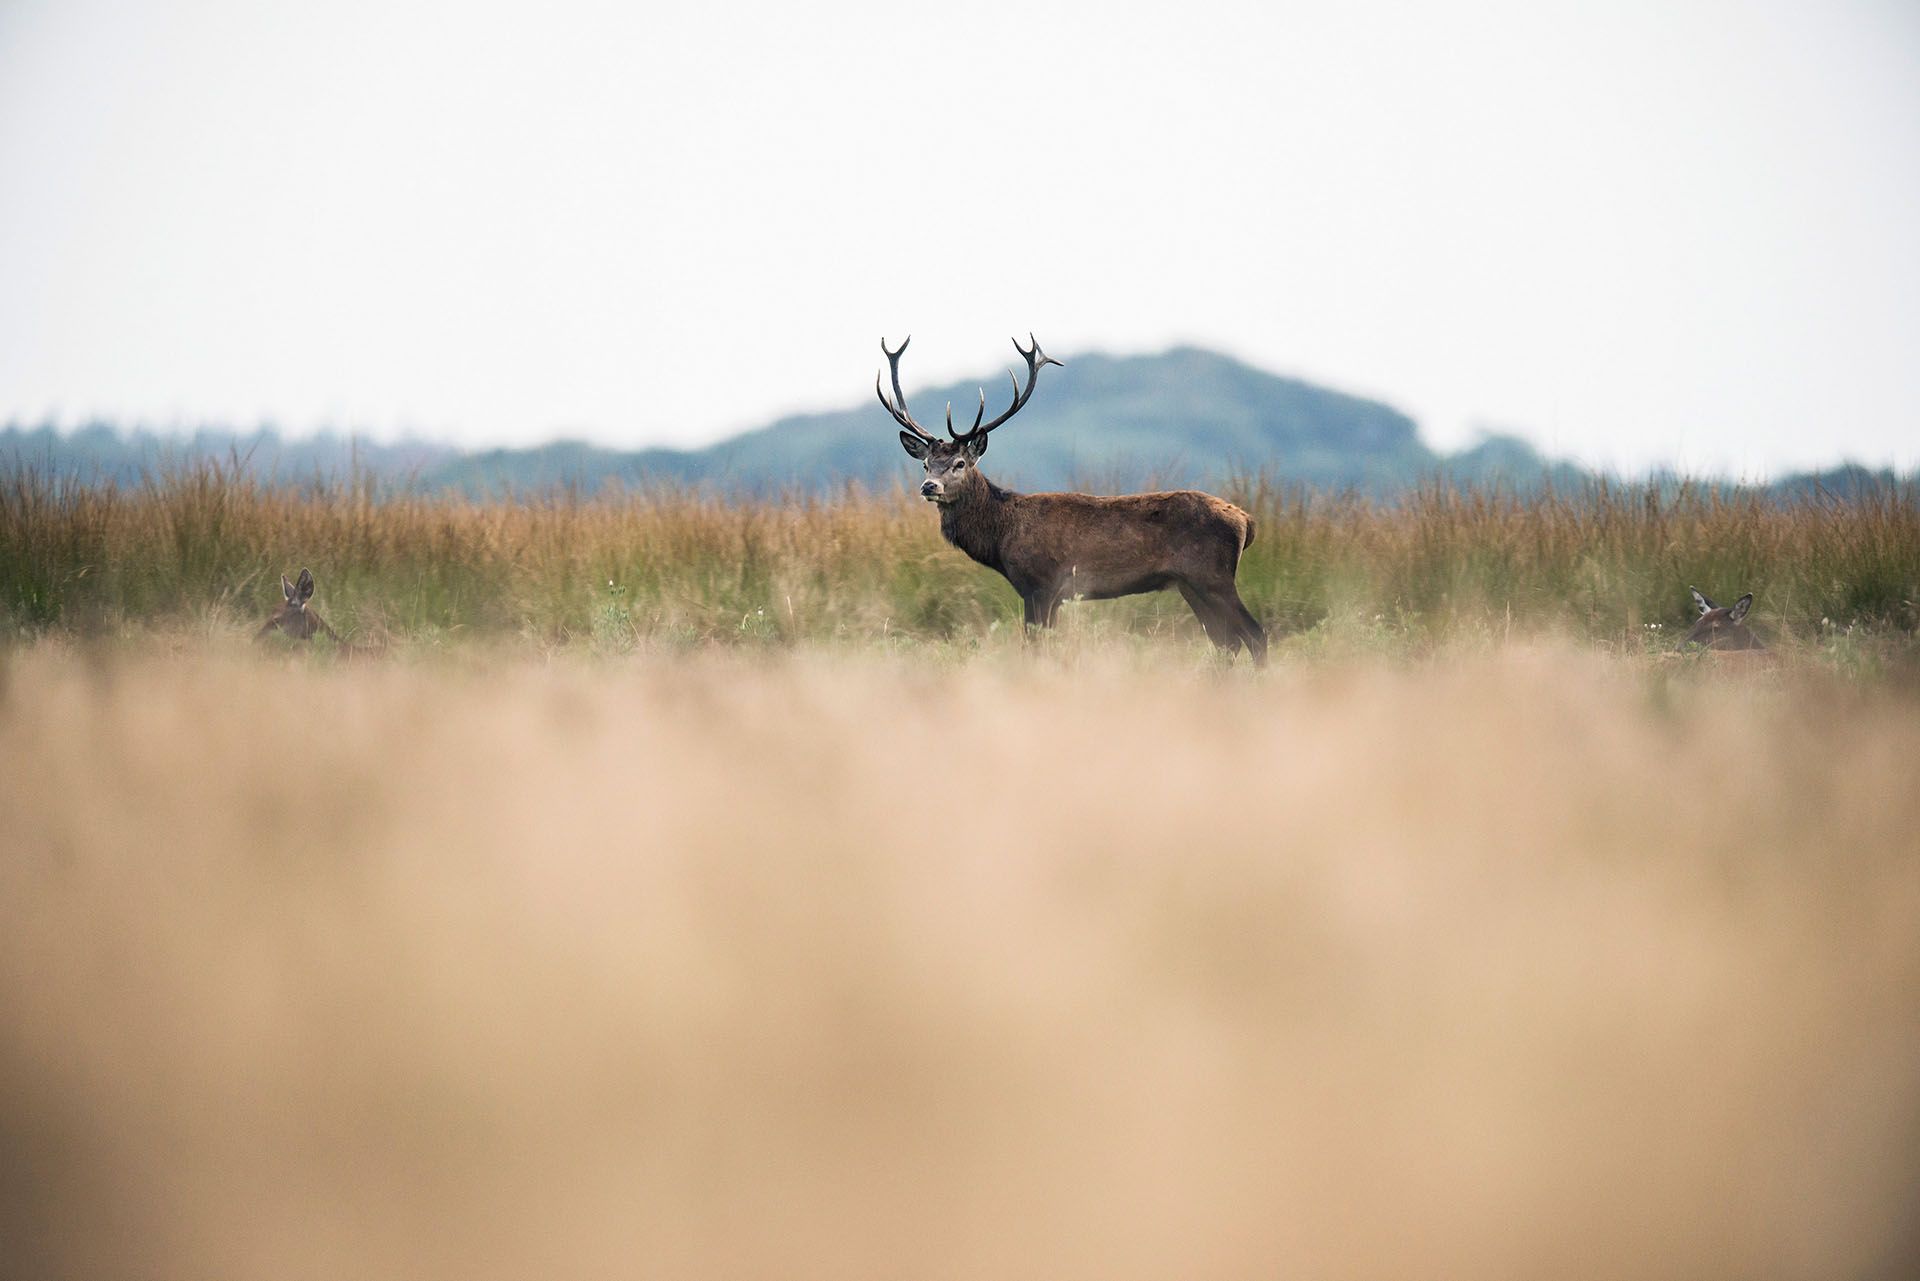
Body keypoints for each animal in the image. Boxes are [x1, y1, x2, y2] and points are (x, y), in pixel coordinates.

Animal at [879, 336, 1267, 668]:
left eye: (959, 463)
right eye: (926, 464)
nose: (929, 486)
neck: (1002, 535)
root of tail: (1247, 521)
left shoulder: (1041, 583)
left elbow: (1034, 646)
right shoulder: (1051, 594)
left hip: (1213, 577)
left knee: (1255, 635)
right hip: (1191, 584)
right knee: (1227, 641)